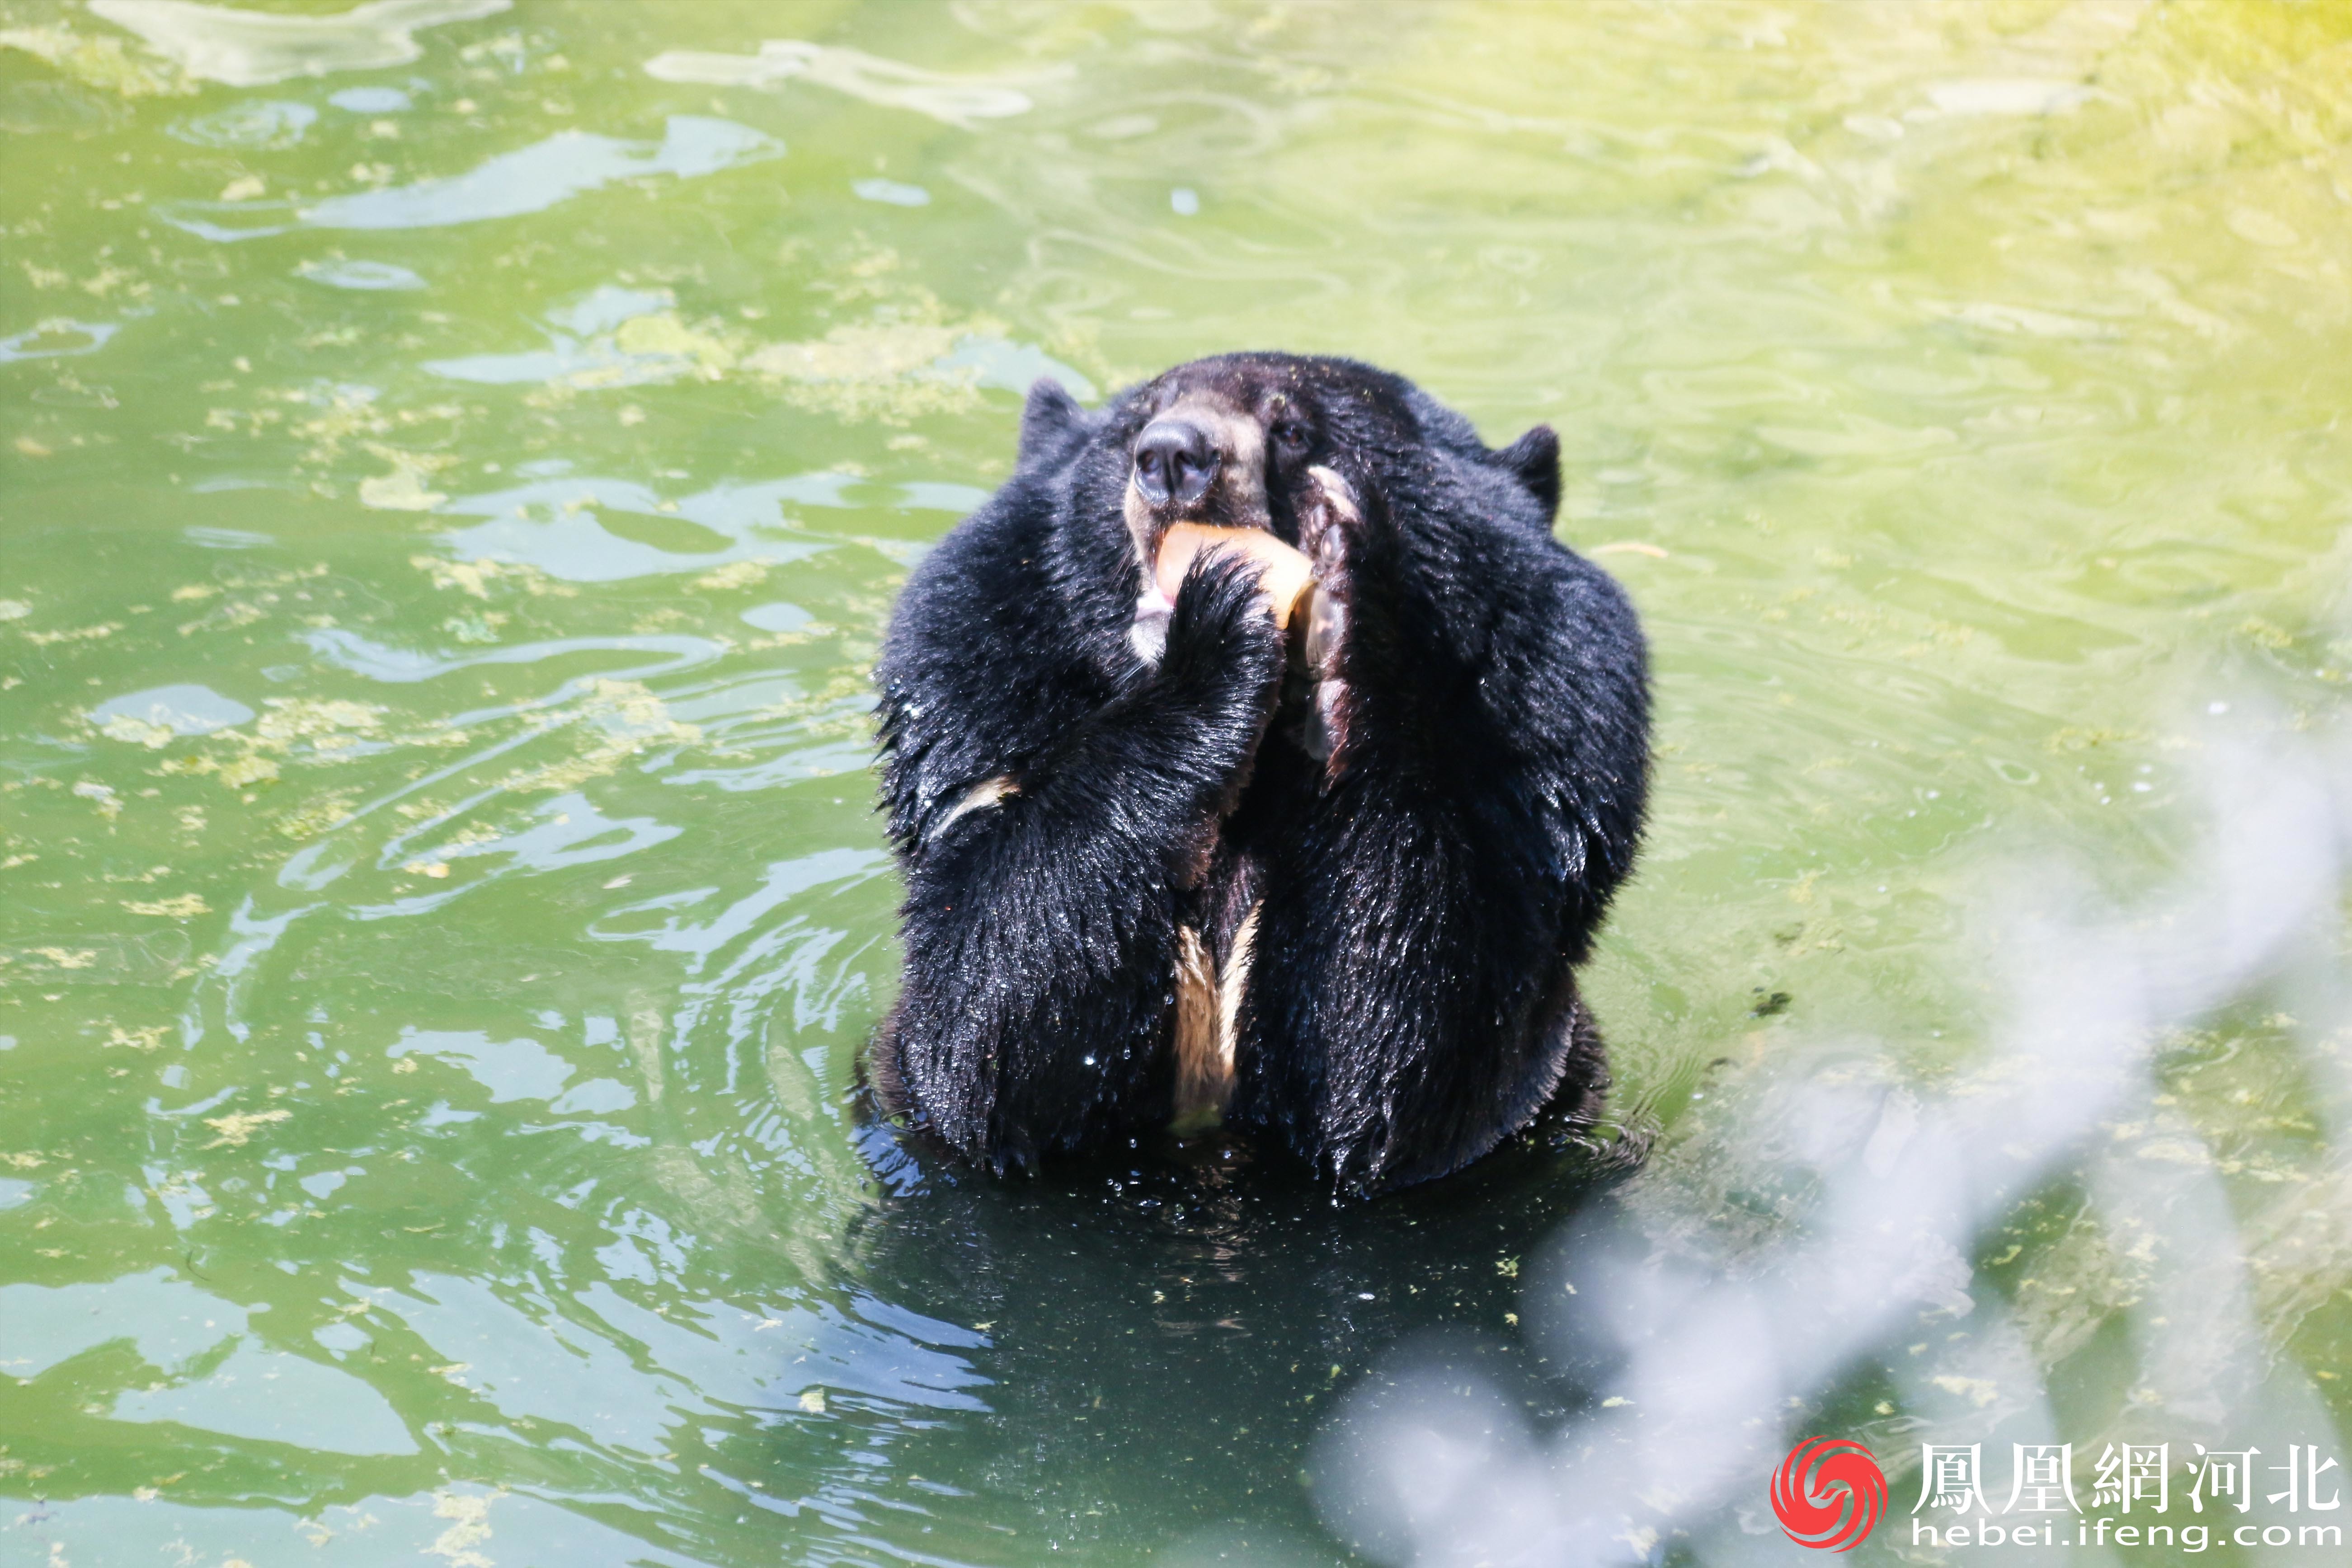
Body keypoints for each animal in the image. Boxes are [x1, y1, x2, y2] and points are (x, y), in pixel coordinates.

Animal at [866, 352, 1649, 1195]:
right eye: (1137, 418)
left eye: (1296, 429)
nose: (1173, 455)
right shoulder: (979, 718)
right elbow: (984, 1017)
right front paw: (1218, 627)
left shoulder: (1543, 763)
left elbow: (1404, 1043)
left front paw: (1345, 588)